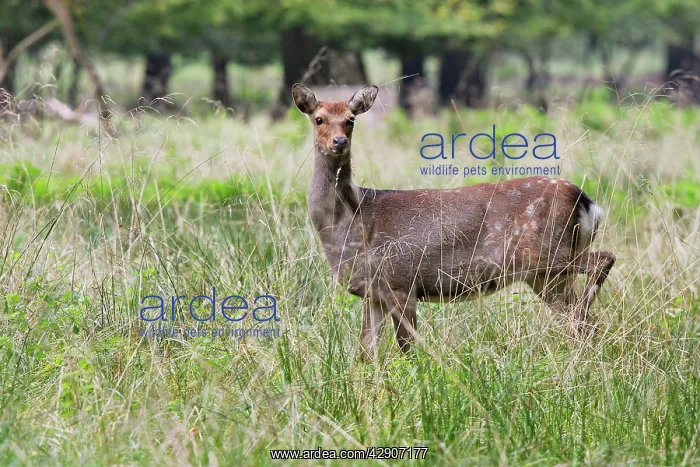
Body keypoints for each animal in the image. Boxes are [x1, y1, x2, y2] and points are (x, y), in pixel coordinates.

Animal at [292, 83, 615, 359]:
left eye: (350, 120)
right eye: (319, 119)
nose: (339, 141)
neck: (352, 223)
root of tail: (588, 203)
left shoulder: (401, 281)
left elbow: (407, 349)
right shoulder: (373, 292)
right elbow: (364, 353)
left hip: (544, 253)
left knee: (602, 263)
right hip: (545, 277)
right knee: (584, 322)